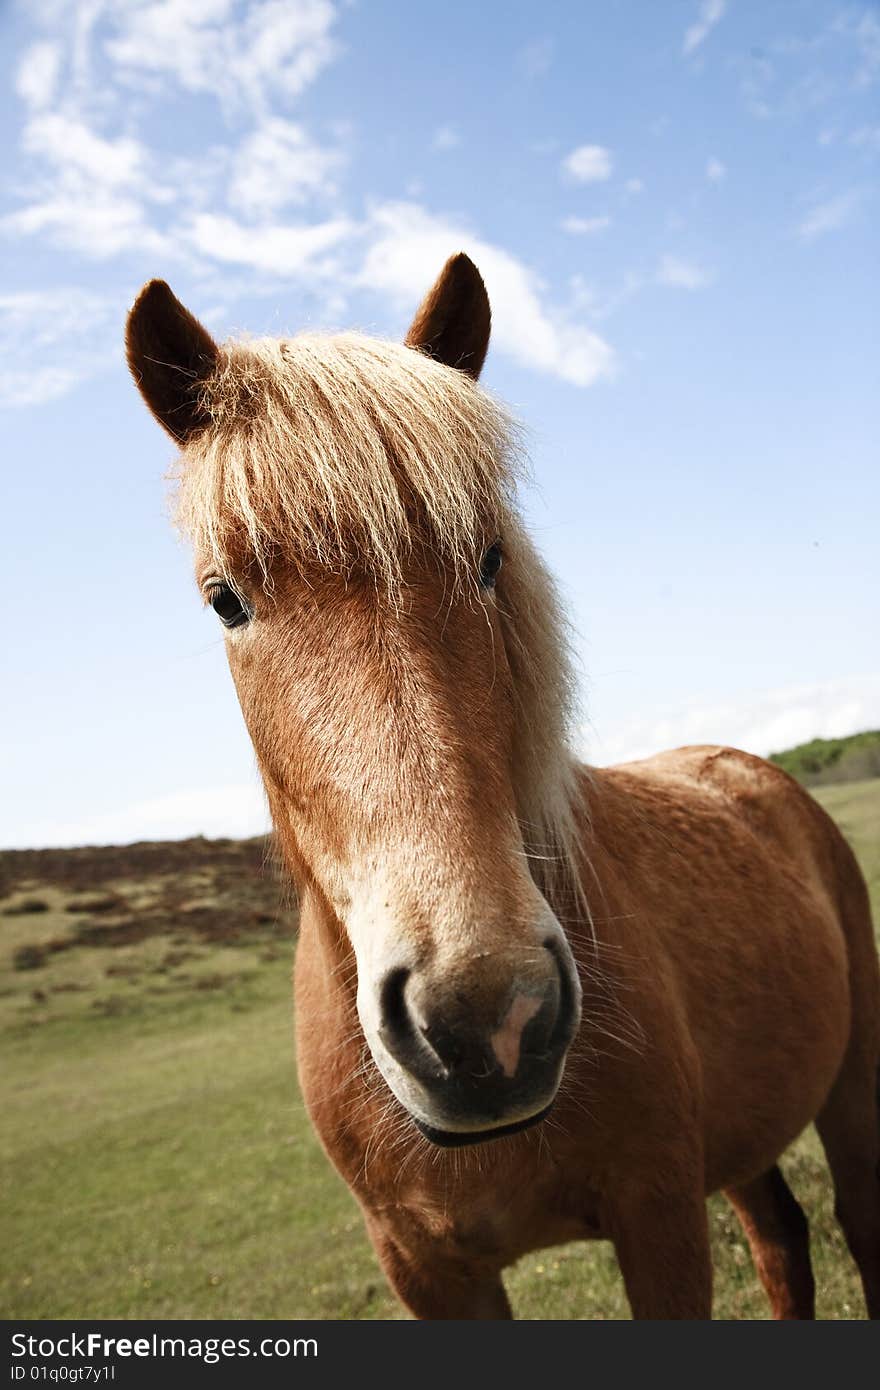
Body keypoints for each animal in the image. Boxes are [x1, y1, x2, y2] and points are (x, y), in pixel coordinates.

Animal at [125, 255, 878, 1317]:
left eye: (489, 559)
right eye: (225, 598)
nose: (487, 1020)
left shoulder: (659, 1216)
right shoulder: (426, 1267)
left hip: (854, 1087)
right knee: (779, 1238)